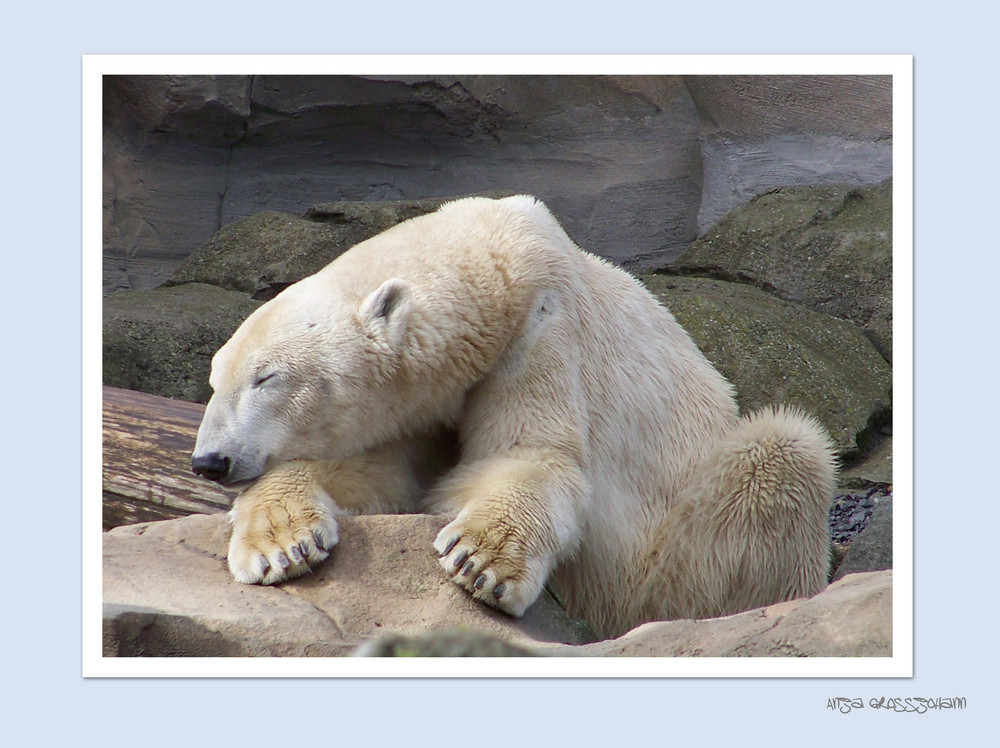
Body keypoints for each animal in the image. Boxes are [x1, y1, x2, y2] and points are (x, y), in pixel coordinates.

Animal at [189, 196, 836, 640]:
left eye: (266, 378)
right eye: (216, 380)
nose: (209, 461)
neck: (494, 260)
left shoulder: (543, 328)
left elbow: (532, 455)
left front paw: (480, 562)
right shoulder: (424, 405)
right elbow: (382, 474)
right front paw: (280, 544)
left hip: (675, 556)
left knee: (785, 451)